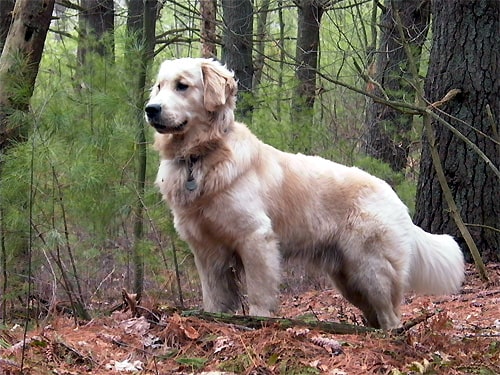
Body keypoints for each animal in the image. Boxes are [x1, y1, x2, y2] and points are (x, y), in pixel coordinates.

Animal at [145, 57, 464, 330]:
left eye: (182, 86)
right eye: (159, 86)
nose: (151, 109)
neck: (200, 157)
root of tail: (393, 195)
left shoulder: (255, 238)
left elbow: (259, 292)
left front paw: (258, 321)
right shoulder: (206, 249)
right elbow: (213, 296)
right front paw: (214, 318)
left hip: (372, 270)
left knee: (391, 316)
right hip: (349, 279)